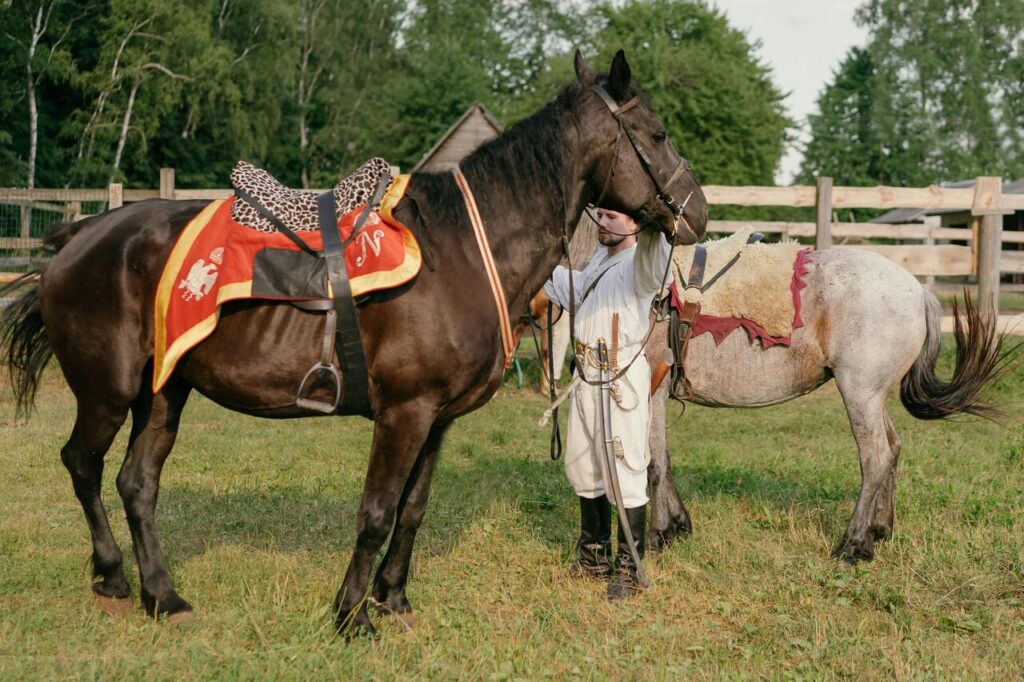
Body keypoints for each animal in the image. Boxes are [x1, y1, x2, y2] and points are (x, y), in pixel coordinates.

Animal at [0, 50, 708, 637]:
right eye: (657, 135)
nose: (697, 214)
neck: (459, 252)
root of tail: (80, 235)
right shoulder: (403, 414)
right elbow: (375, 512)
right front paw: (351, 616)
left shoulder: (437, 419)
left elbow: (412, 510)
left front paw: (393, 600)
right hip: (108, 392)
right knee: (83, 465)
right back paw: (113, 576)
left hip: (165, 393)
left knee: (136, 484)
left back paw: (162, 596)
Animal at [641, 246, 1015, 563]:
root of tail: (918, 291)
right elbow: (666, 460)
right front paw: (679, 525)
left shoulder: (650, 394)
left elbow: (655, 465)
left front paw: (660, 533)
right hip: (873, 397)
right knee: (893, 448)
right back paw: (880, 530)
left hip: (860, 394)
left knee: (876, 459)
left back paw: (853, 545)